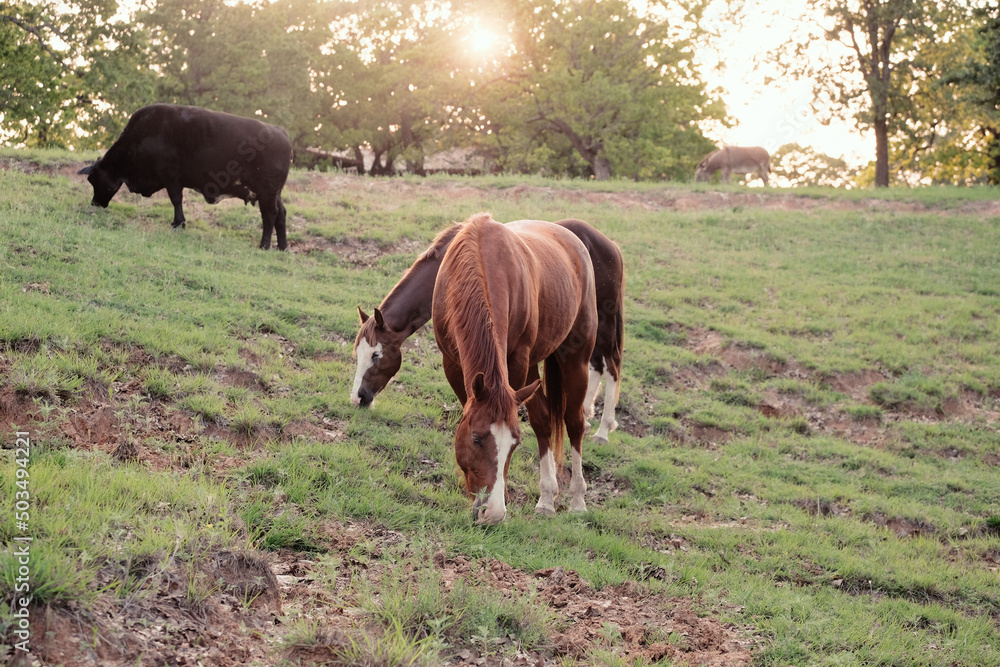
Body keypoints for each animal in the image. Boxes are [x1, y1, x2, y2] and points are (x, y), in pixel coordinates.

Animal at [351, 218, 624, 443]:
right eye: (357, 355)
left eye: (376, 354)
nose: (358, 397)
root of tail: (611, 245)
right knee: (597, 366)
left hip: (602, 324)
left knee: (611, 364)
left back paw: (603, 430)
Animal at [432, 213, 597, 524]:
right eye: (476, 438)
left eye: (515, 444)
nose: (492, 514)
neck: (481, 259)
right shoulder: (452, 363)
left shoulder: (516, 363)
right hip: (533, 366)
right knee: (544, 420)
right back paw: (546, 499)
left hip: (575, 361)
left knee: (574, 422)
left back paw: (578, 500)